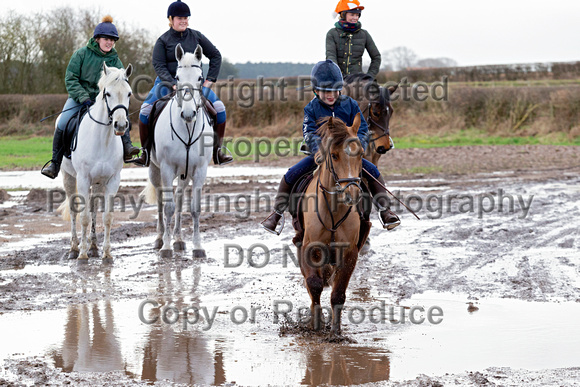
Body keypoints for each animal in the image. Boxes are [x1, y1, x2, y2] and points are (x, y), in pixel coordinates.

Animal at [59, 63, 135, 264]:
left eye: (129, 93)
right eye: (107, 93)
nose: (121, 125)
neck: (103, 139)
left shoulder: (112, 180)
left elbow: (107, 217)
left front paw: (107, 254)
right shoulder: (83, 179)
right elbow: (84, 217)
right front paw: (82, 255)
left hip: (98, 182)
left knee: (93, 209)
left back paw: (93, 247)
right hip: (69, 177)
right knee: (74, 210)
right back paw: (74, 249)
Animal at [142, 44, 214, 260]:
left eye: (200, 77)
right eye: (177, 77)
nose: (188, 114)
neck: (187, 128)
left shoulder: (199, 170)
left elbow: (194, 208)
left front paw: (198, 246)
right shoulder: (166, 169)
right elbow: (168, 207)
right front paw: (166, 247)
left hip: (185, 173)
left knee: (180, 198)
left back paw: (179, 239)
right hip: (155, 171)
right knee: (160, 201)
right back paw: (160, 239)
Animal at [294, 113, 372, 338]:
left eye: (360, 154)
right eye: (334, 156)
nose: (352, 194)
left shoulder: (350, 252)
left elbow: (338, 293)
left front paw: (336, 332)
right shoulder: (310, 248)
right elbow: (314, 285)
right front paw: (316, 323)